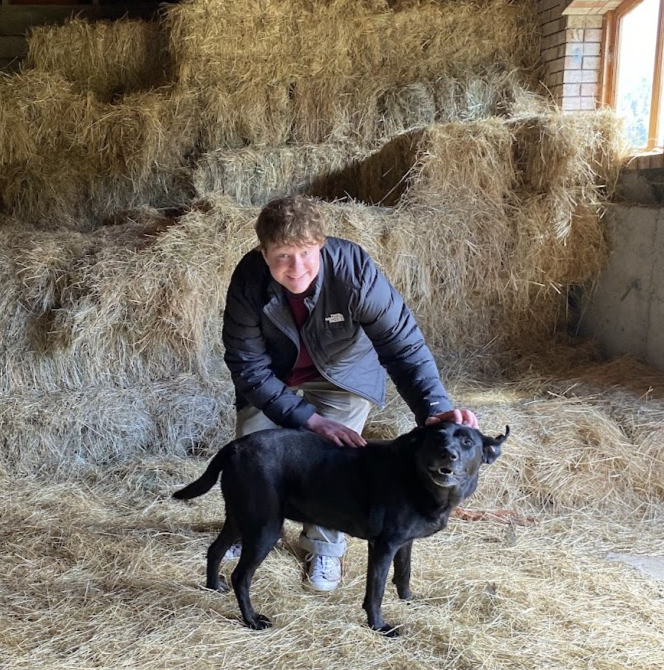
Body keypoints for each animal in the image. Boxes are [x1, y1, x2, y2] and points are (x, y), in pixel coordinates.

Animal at [172, 422, 508, 636]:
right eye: (436, 439)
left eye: (467, 442)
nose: (448, 454)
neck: (417, 478)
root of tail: (234, 446)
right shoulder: (383, 545)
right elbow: (376, 592)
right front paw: (379, 627)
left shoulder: (405, 543)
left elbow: (404, 573)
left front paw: (408, 599)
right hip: (264, 528)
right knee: (241, 576)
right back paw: (252, 620)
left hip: (240, 519)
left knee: (215, 550)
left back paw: (213, 586)